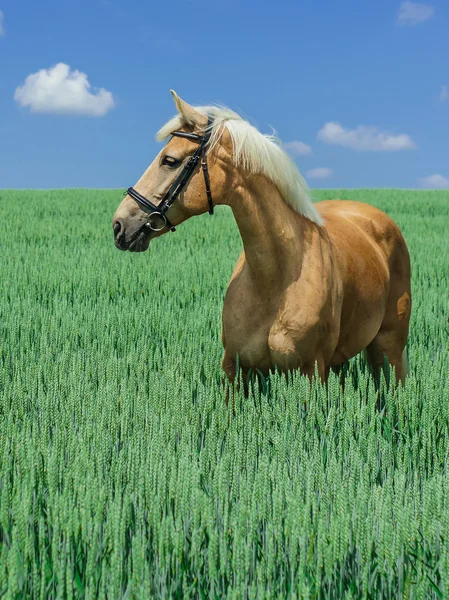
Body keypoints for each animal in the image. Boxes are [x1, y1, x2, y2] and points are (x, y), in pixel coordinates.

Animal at [114, 91, 412, 386]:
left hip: (388, 348)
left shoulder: (312, 372)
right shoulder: (237, 371)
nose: (119, 225)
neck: (273, 280)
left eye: (169, 160)